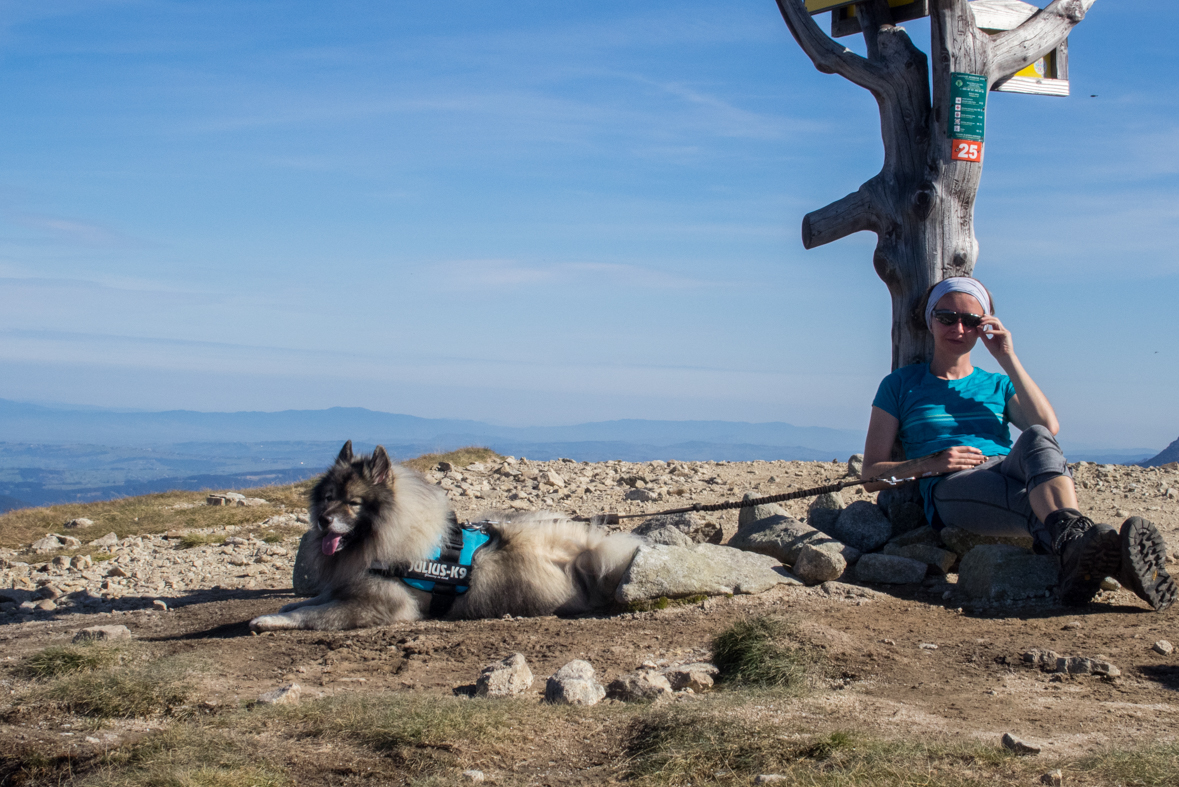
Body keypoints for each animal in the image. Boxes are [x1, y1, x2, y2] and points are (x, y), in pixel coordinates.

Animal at [244, 442, 641, 631]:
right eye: (328, 498)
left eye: (354, 503)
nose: (324, 521)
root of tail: (583, 554)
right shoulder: (346, 585)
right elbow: (309, 601)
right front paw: (283, 607)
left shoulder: (373, 605)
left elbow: (311, 614)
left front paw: (268, 620)